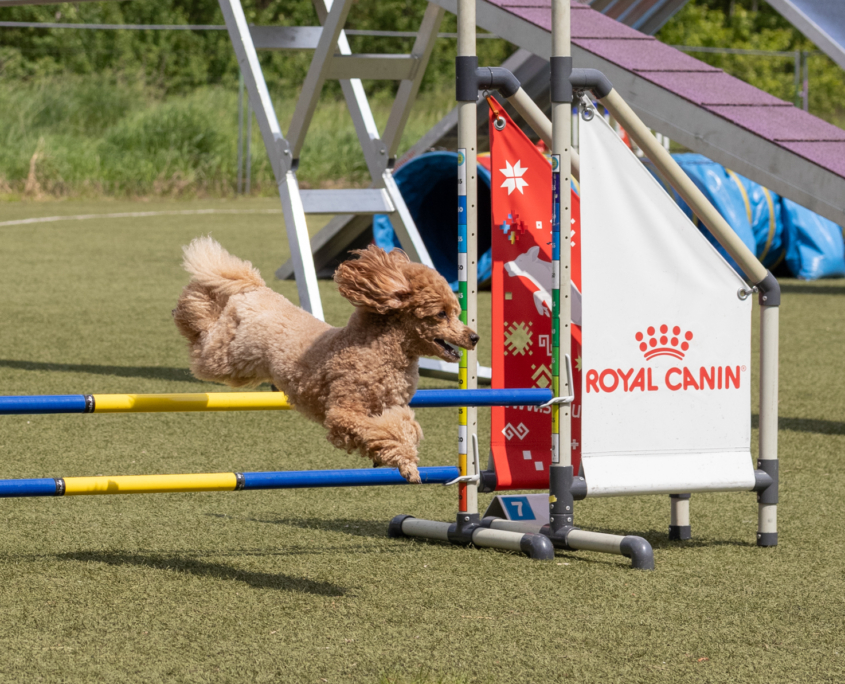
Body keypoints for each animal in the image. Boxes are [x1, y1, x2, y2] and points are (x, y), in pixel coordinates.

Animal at [173, 237, 479, 482]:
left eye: (457, 311)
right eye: (441, 314)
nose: (474, 337)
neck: (379, 350)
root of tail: (257, 289)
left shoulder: (394, 406)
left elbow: (403, 428)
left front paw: (402, 463)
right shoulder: (344, 410)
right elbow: (378, 430)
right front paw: (403, 461)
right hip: (226, 357)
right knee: (203, 327)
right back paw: (186, 310)